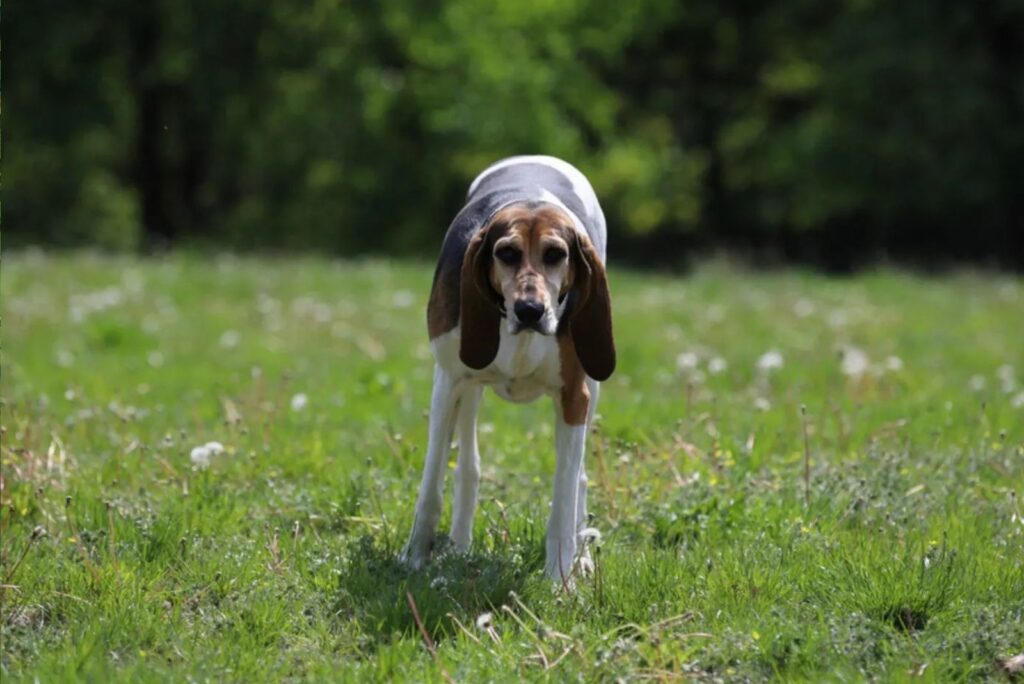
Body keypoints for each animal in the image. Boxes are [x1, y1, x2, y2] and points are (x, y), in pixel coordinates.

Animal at [395, 153, 610, 577]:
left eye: (556, 254)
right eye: (506, 253)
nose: (530, 310)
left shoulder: (574, 396)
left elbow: (564, 496)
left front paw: (560, 578)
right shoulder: (448, 381)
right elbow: (431, 484)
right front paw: (415, 558)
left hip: (592, 387)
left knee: (578, 479)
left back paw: (581, 556)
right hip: (468, 388)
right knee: (468, 465)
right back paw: (459, 545)